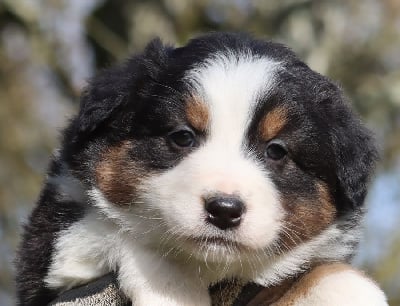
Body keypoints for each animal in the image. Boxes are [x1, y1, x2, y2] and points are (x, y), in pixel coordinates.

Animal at [16, 32, 388, 304]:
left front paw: (353, 292)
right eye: (183, 136)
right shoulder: (53, 250)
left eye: (276, 151)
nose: (224, 210)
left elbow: (320, 272)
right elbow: (122, 231)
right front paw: (174, 290)